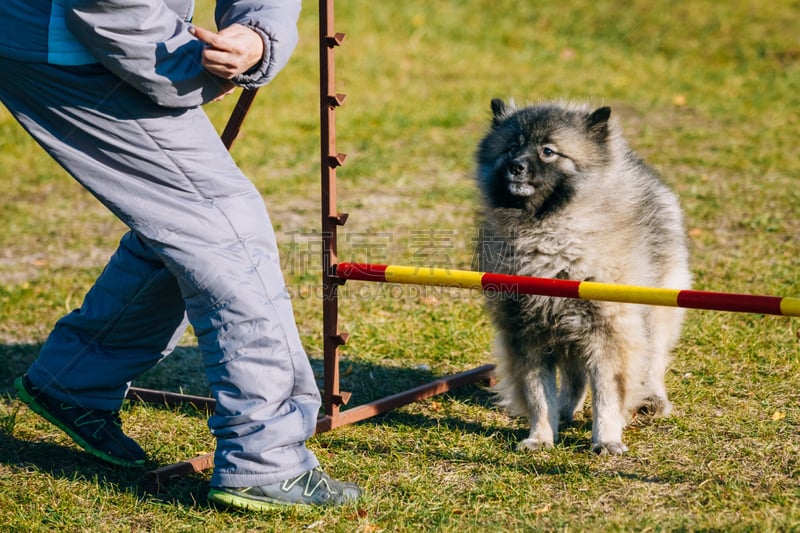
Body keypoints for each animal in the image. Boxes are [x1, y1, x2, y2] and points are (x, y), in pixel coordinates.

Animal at [476, 100, 692, 454]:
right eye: (510, 148)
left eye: (548, 151)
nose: (516, 167)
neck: (550, 233)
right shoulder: (528, 335)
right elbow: (539, 395)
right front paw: (541, 436)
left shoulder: (608, 331)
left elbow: (607, 395)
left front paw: (606, 438)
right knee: (575, 376)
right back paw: (566, 410)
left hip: (654, 309)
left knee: (654, 358)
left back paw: (653, 399)